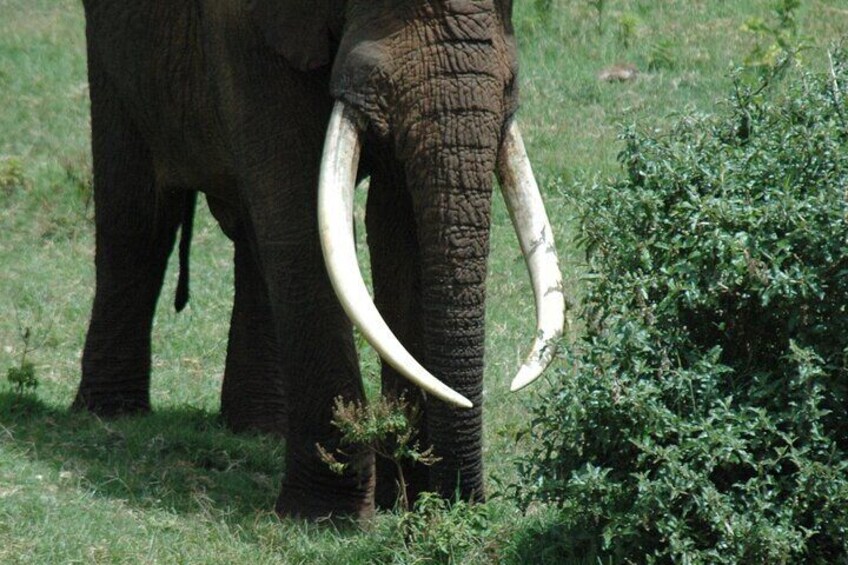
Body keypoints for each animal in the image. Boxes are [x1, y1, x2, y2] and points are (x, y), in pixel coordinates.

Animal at [73, 0, 566, 520]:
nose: (462, 505)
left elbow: (398, 225)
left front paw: (404, 503)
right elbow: (296, 209)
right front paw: (328, 515)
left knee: (248, 235)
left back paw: (259, 428)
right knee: (137, 216)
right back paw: (110, 415)